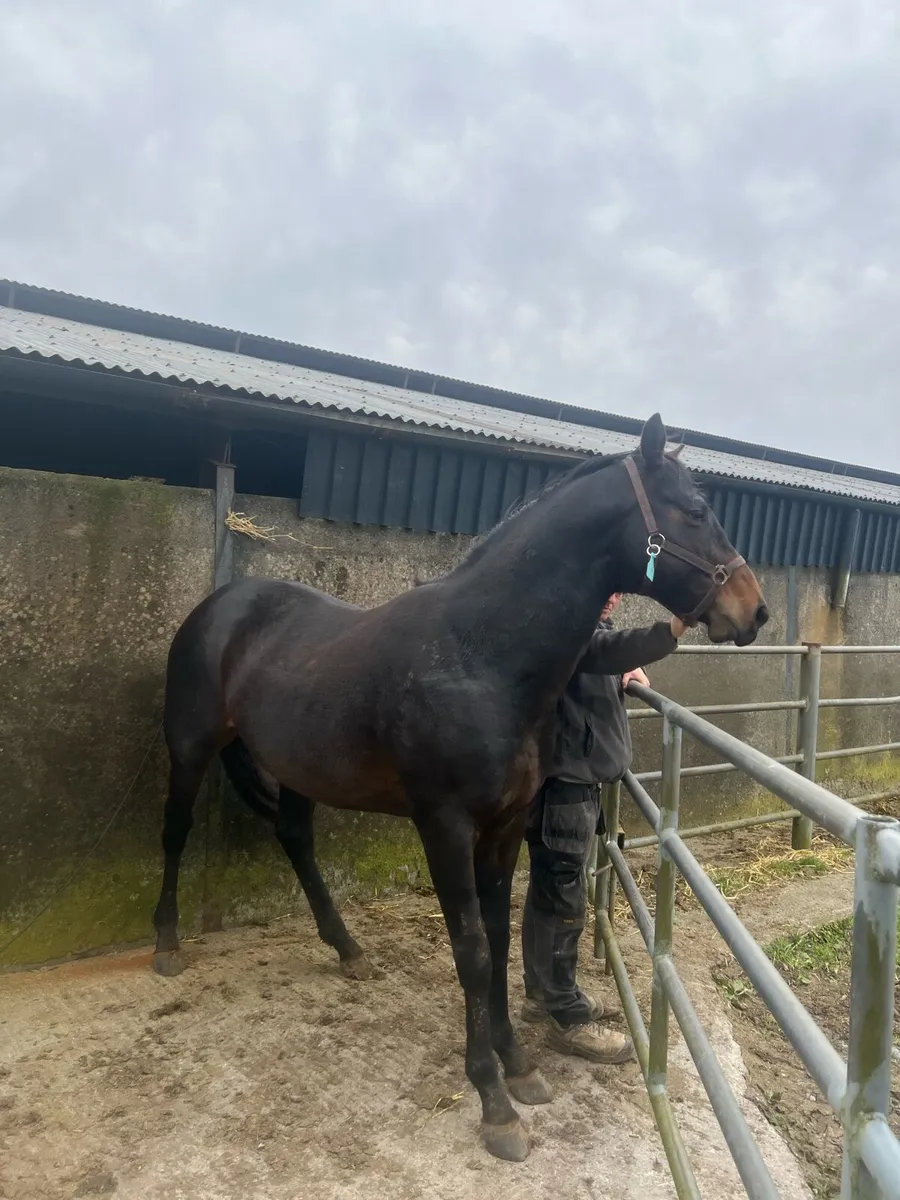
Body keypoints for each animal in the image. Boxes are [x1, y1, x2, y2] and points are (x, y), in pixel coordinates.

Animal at [151, 413, 768, 1162]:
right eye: (697, 510)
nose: (755, 610)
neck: (480, 654)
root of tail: (220, 605)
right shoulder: (442, 826)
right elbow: (472, 952)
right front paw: (493, 1101)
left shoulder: (504, 826)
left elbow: (500, 940)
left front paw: (518, 1065)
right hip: (190, 750)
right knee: (175, 832)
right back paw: (167, 943)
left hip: (300, 768)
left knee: (295, 838)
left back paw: (348, 949)